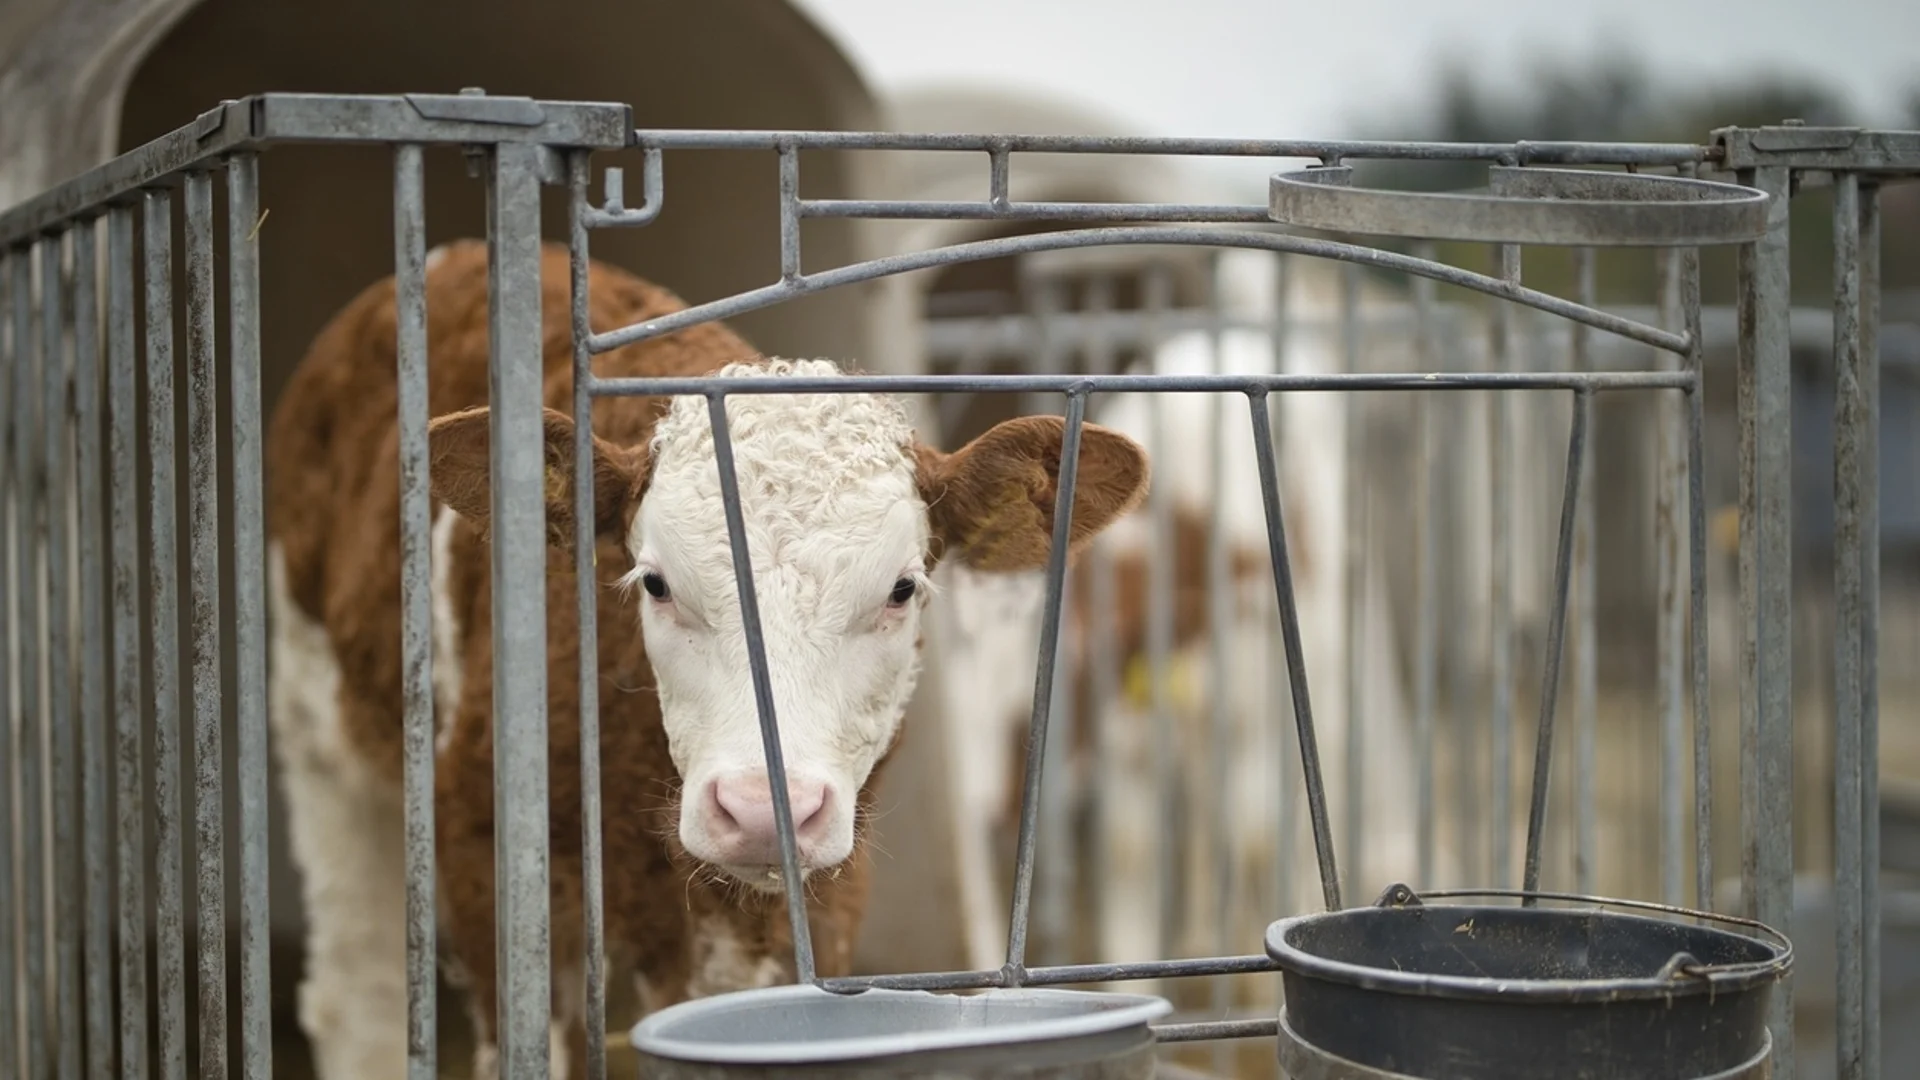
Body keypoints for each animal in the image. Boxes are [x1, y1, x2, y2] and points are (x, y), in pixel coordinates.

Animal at [263, 242, 1144, 1076]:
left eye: (901, 589)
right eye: (654, 582)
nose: (762, 811)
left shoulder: (819, 899)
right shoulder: (482, 847)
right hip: (319, 741)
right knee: (356, 991)